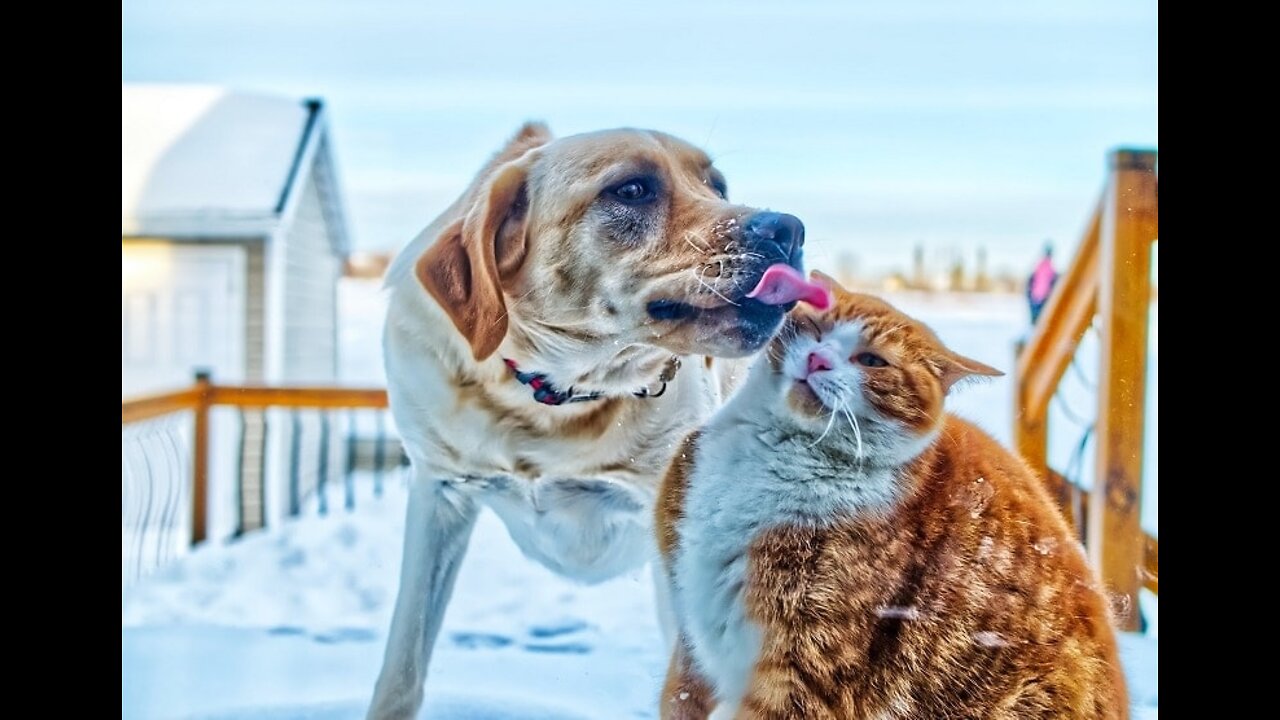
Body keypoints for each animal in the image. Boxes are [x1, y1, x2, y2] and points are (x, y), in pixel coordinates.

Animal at [371, 121, 808, 712]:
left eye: (716, 185)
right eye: (632, 190)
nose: (790, 229)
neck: (557, 397)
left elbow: (687, 690)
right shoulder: (439, 494)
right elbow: (403, 668)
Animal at [655, 275, 1126, 717]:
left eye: (871, 361)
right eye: (816, 327)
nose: (818, 359)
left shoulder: (804, 671)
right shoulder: (690, 646)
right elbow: (680, 696)